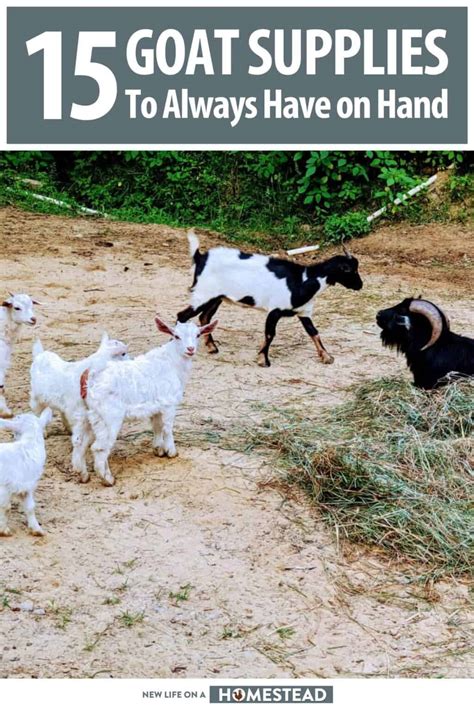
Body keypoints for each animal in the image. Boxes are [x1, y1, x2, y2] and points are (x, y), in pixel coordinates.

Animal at [30, 333, 129, 480]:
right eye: (123, 353)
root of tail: (40, 354)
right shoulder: (79, 413)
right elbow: (80, 438)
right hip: (37, 397)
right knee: (37, 410)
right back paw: (44, 432)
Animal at [77, 317, 217, 486]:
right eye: (176, 336)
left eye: (197, 335)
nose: (190, 349)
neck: (172, 363)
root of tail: (91, 377)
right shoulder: (169, 403)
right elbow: (167, 428)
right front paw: (171, 452)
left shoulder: (156, 406)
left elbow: (157, 426)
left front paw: (158, 449)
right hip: (109, 417)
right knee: (99, 448)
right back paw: (107, 479)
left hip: (88, 416)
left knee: (80, 443)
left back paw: (83, 475)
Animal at [177, 230, 363, 367]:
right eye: (350, 270)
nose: (360, 285)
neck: (303, 280)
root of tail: (200, 257)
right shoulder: (275, 310)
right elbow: (270, 334)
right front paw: (263, 360)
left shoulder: (303, 312)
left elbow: (314, 332)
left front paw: (326, 356)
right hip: (203, 294)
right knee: (183, 315)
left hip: (216, 297)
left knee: (204, 317)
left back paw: (212, 347)